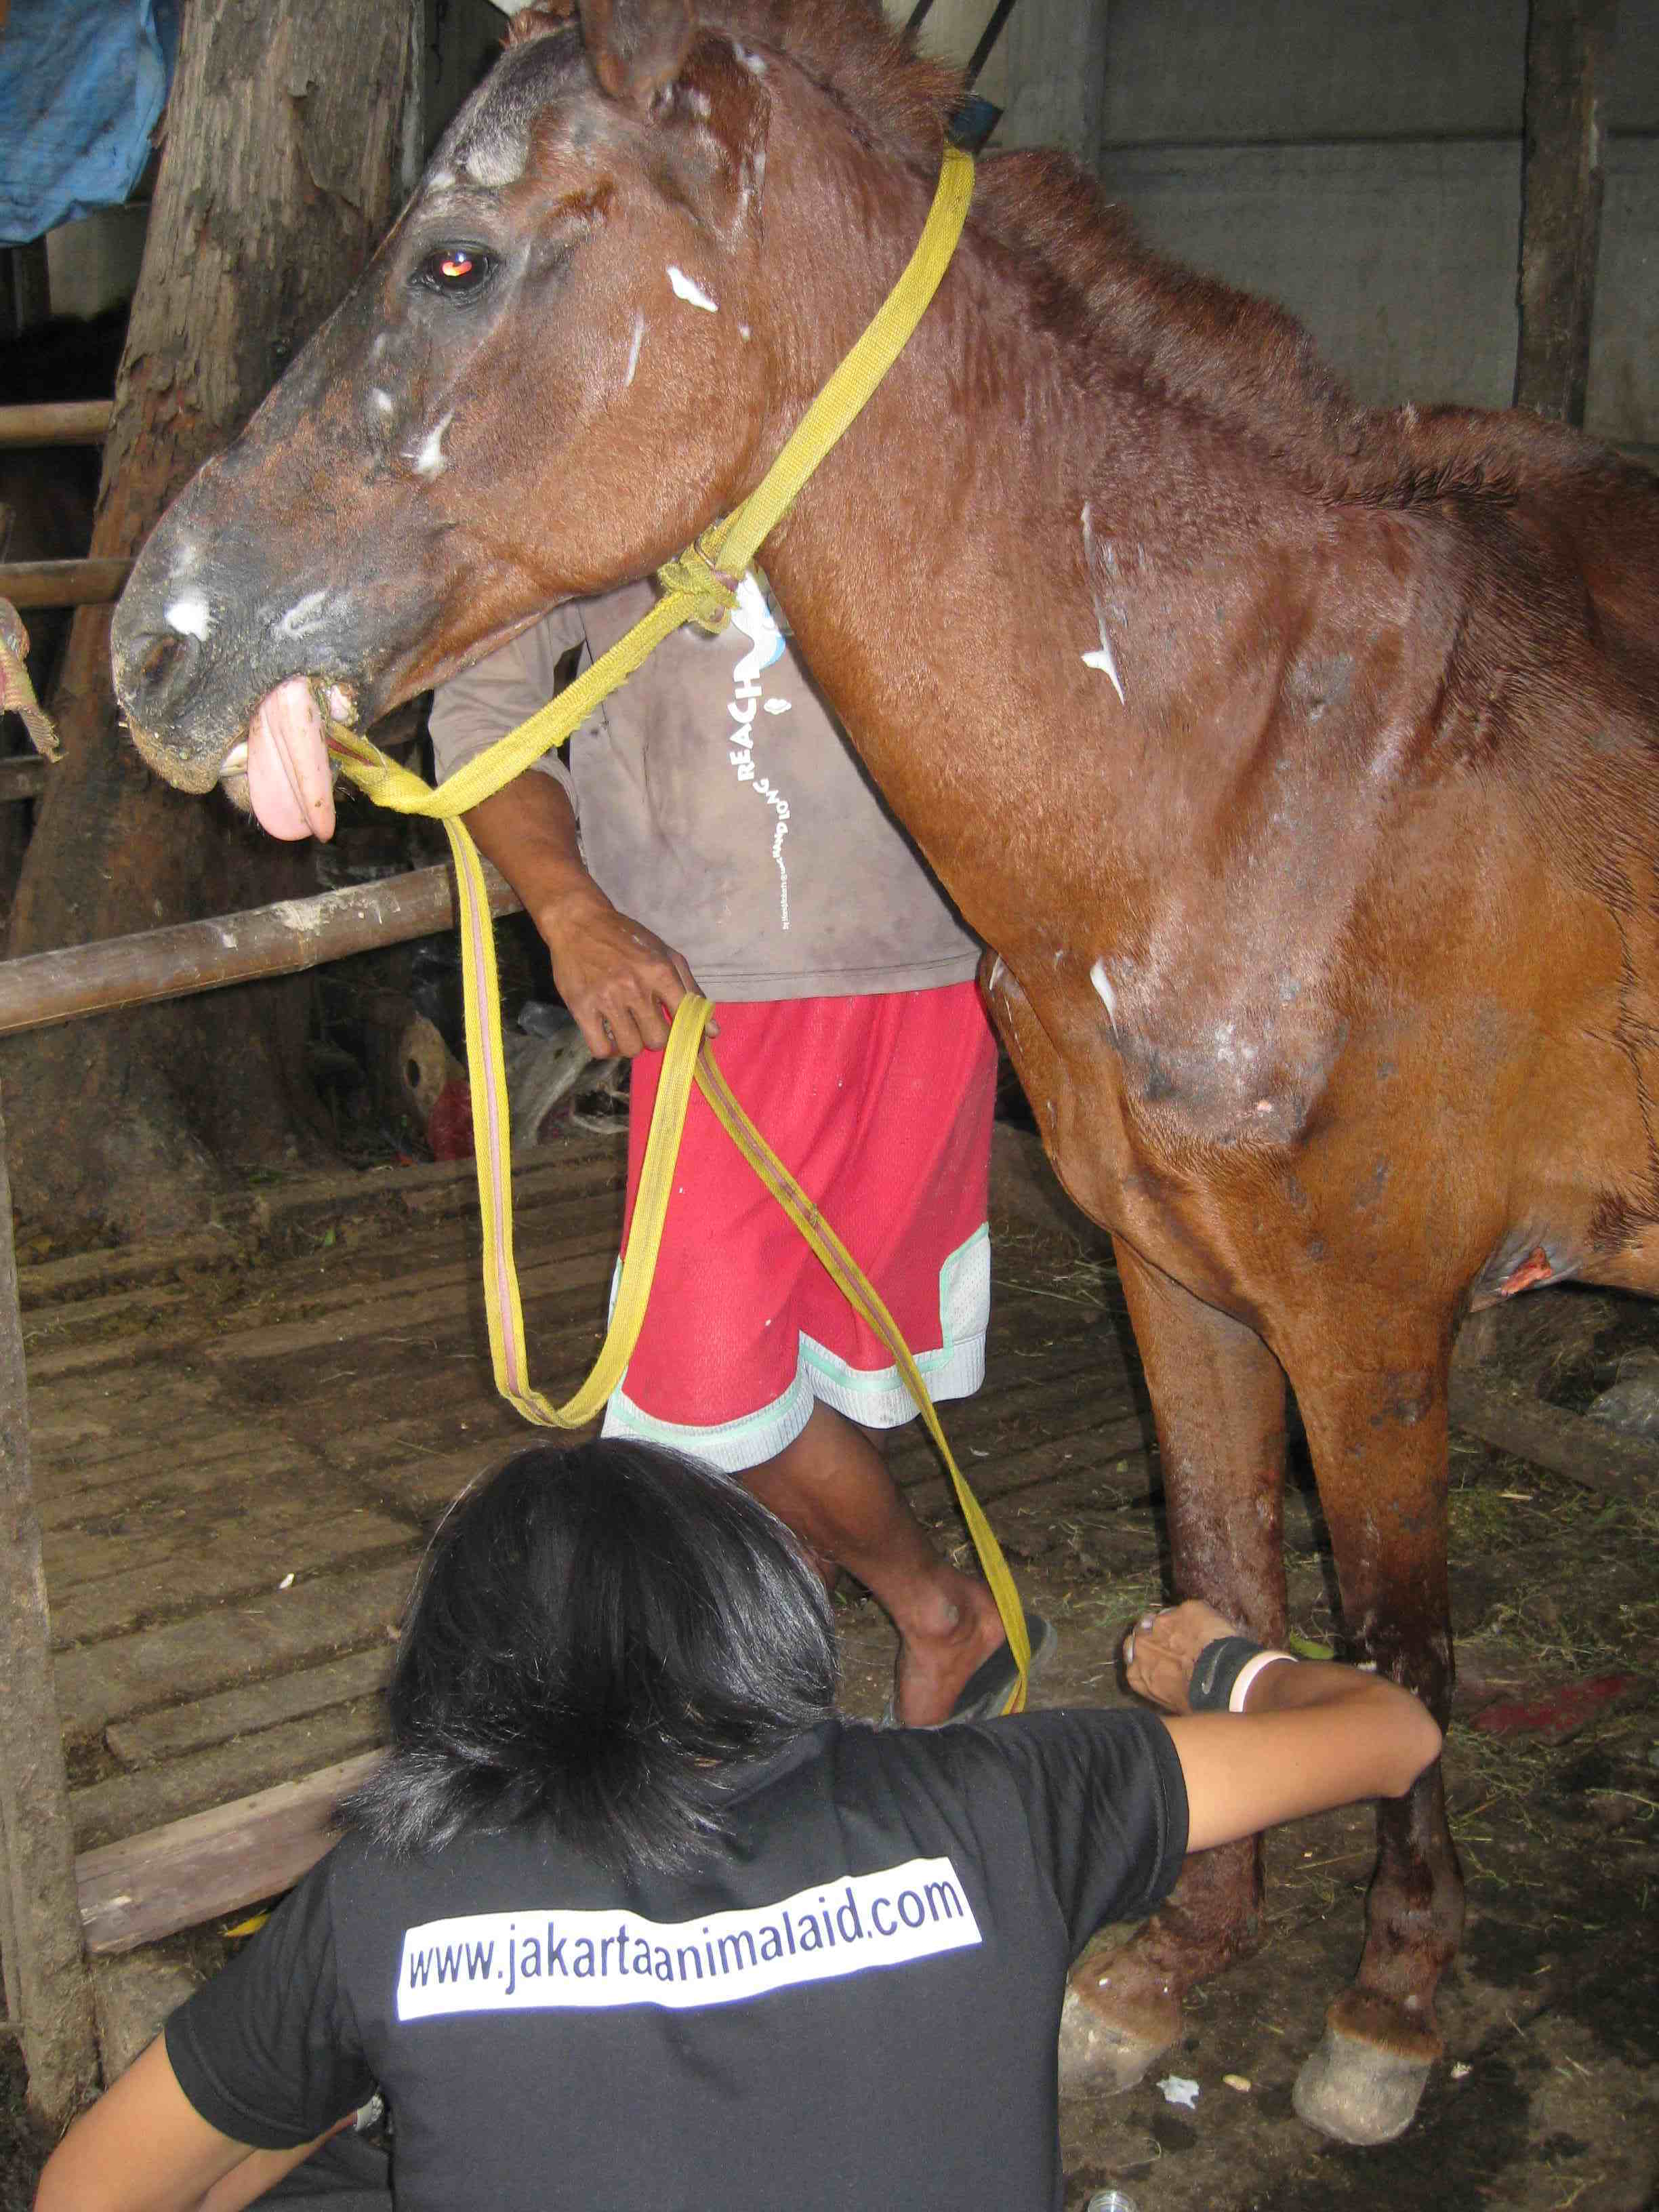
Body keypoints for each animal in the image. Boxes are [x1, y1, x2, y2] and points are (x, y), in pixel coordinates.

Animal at [110, 0, 1659, 2141]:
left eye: (455, 261)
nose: (148, 653)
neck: (1287, 765)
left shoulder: (1374, 1326)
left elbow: (1399, 1650)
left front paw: (1392, 2007)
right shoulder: (1182, 1283)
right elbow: (1227, 1585)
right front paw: (1170, 1965)